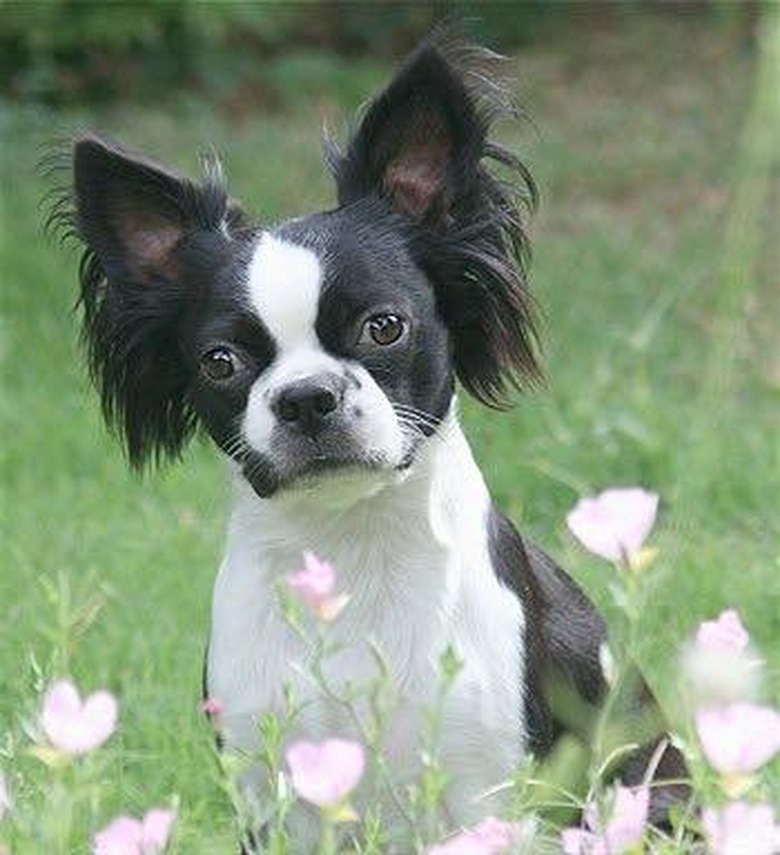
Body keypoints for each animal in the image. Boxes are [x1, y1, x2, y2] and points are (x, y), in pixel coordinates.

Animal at [53, 35, 684, 848]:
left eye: (384, 326)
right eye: (220, 363)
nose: (305, 397)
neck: (348, 551)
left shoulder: (485, 790)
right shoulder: (272, 788)